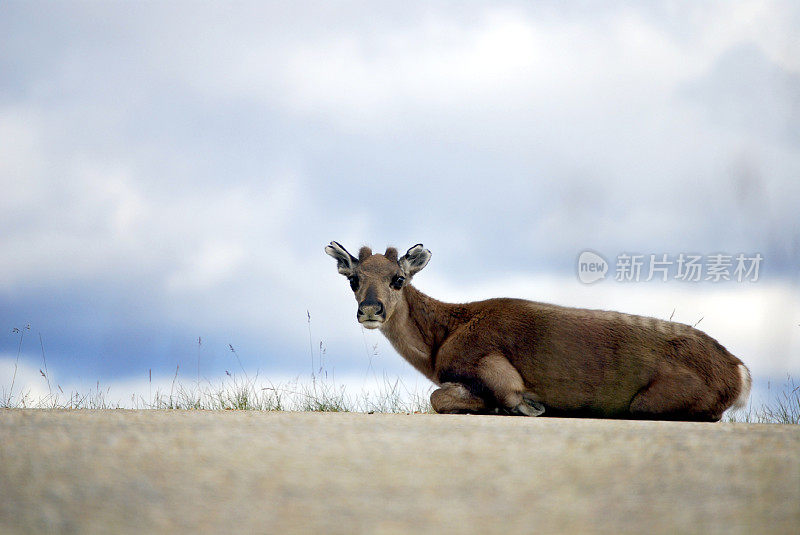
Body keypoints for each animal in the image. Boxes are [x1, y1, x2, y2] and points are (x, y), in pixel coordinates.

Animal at [324, 243, 752, 422]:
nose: (370, 309)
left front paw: (522, 406)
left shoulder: (492, 361)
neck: (440, 343)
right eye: (353, 280)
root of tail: (739, 371)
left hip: (654, 399)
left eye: (398, 279)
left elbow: (440, 397)